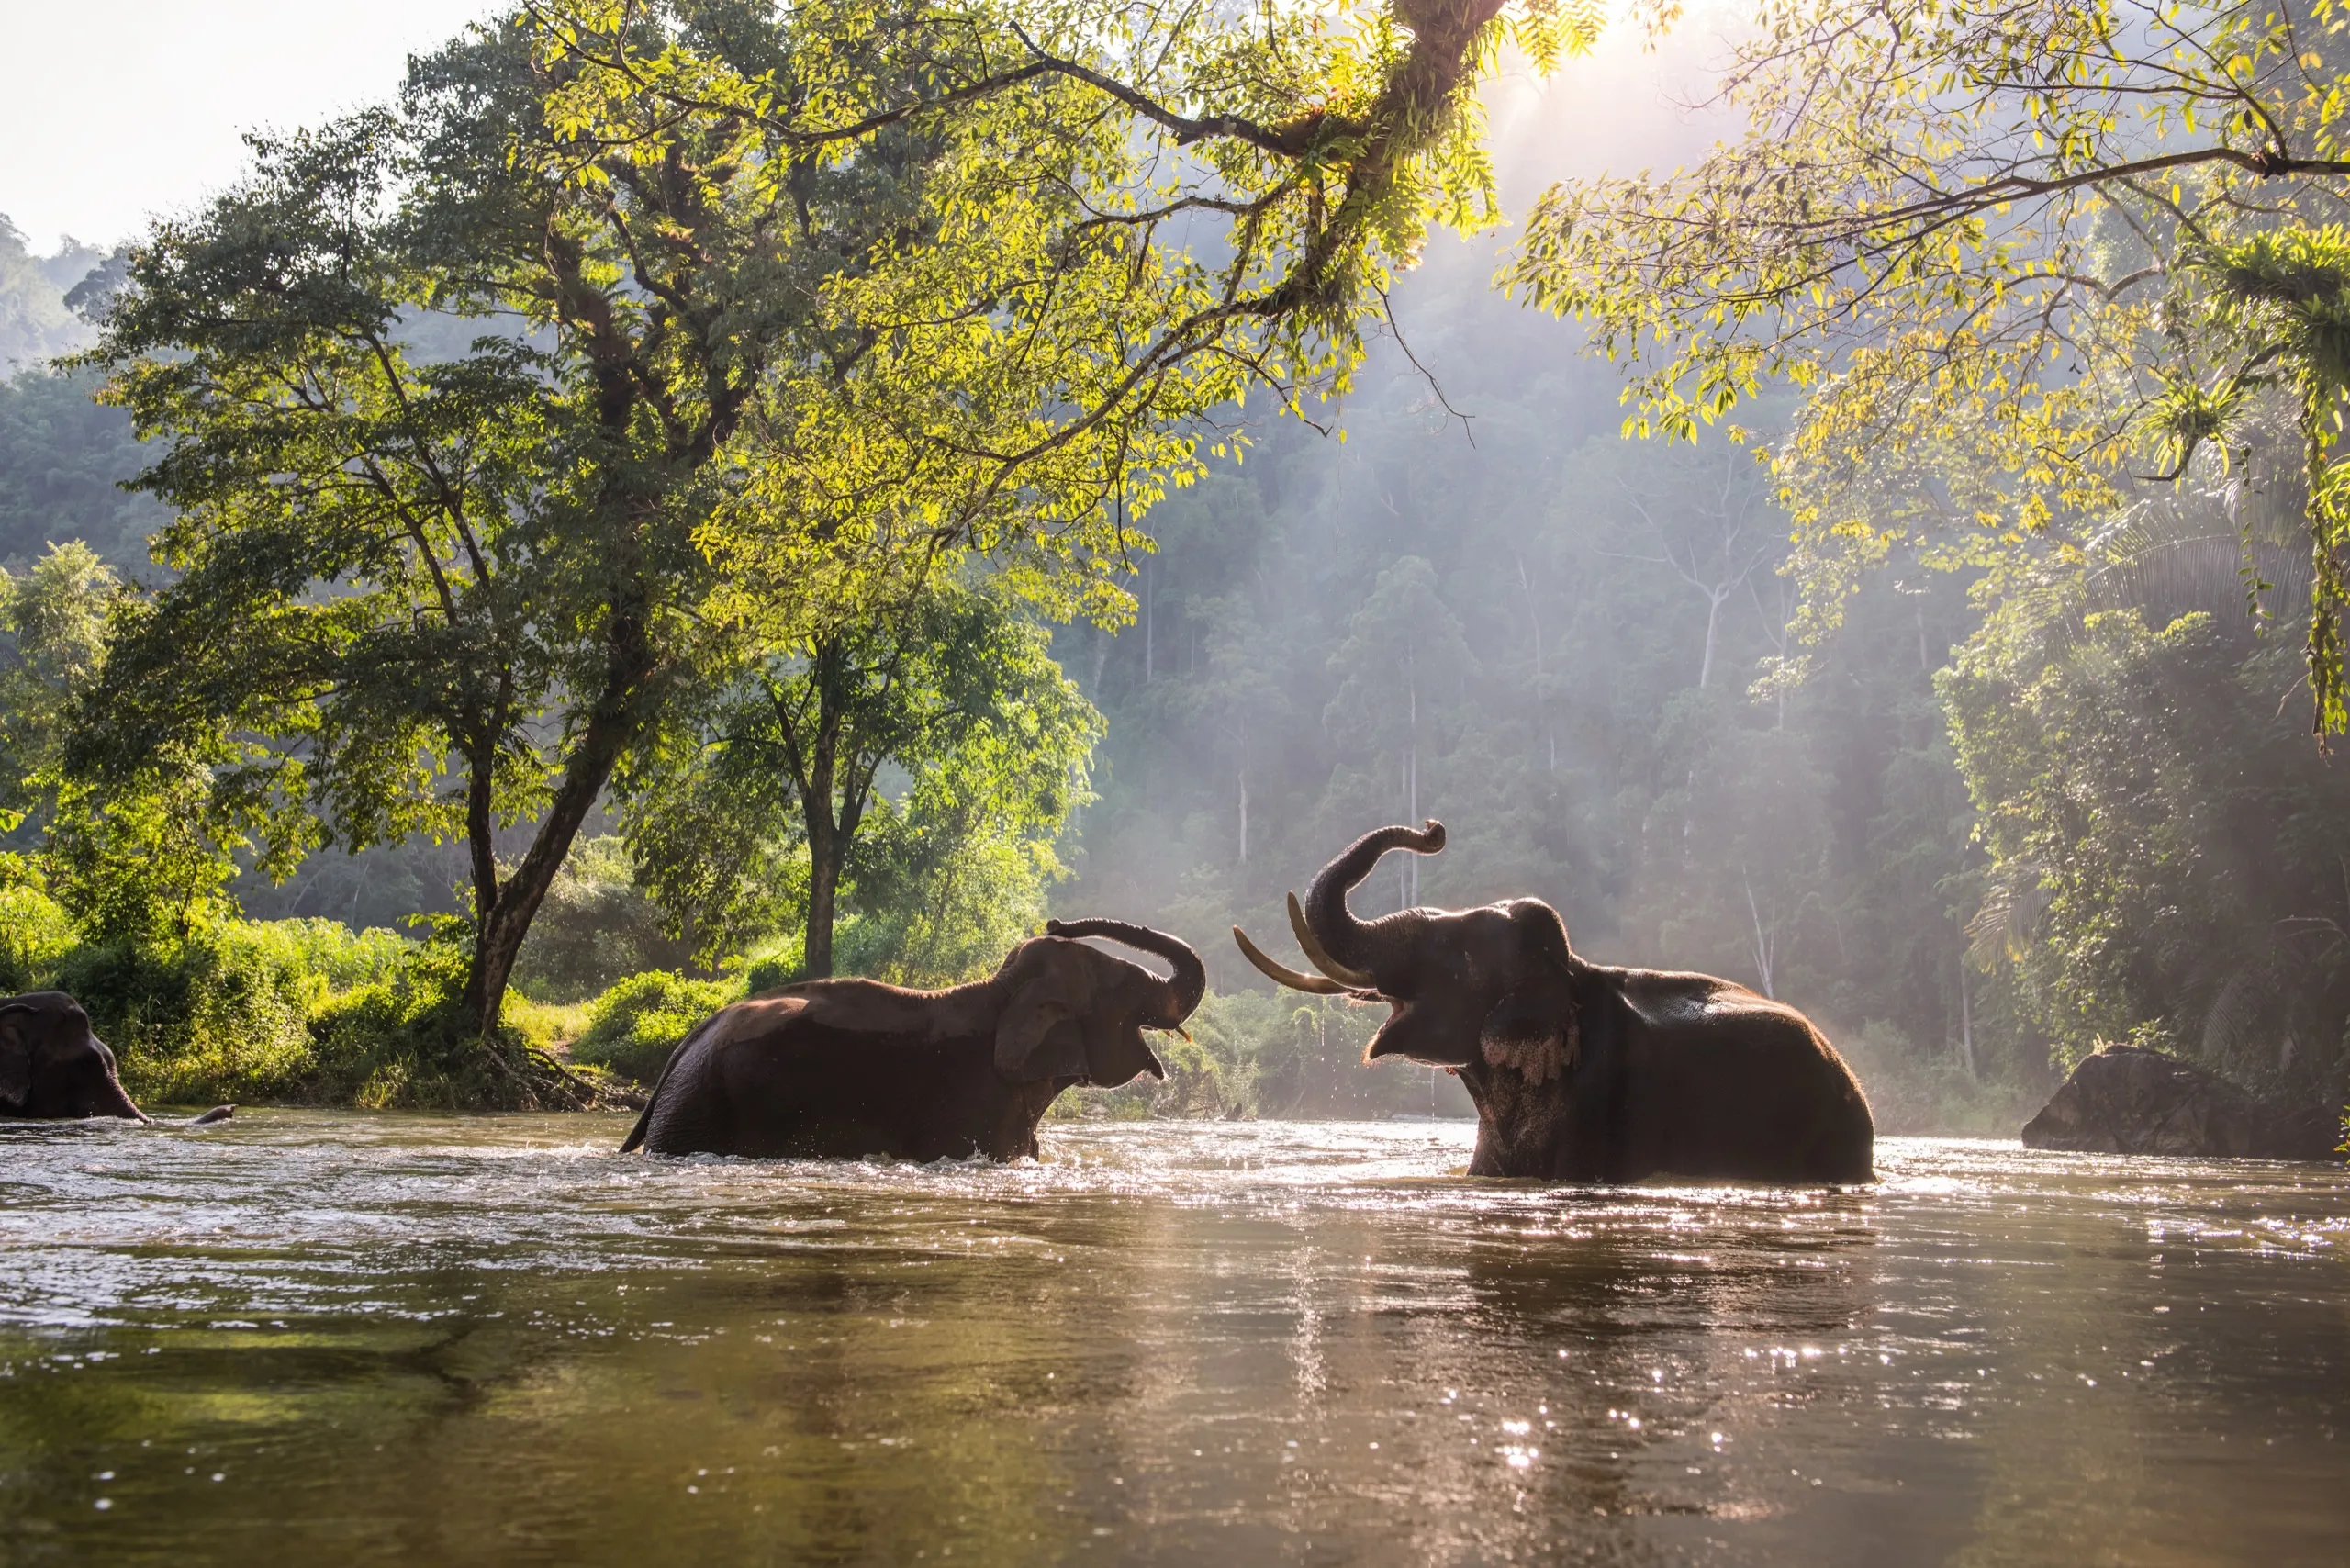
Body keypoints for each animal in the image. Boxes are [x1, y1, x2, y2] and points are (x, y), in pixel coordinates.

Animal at [621, 918, 1206, 1159]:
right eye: (1126, 987)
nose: (1057, 921)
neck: (1004, 992)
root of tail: (686, 1043)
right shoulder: (968, 1104)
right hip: (699, 1110)